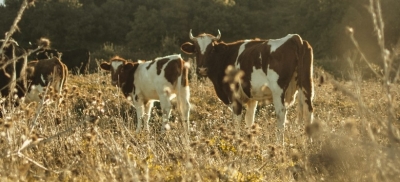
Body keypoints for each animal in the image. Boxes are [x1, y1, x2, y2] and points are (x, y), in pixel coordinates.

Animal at [181, 29, 316, 144]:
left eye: (212, 50)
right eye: (196, 50)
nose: (202, 69)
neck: (226, 56)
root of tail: (294, 37)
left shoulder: (234, 95)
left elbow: (237, 119)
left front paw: (237, 142)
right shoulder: (251, 97)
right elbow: (250, 120)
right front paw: (251, 142)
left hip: (278, 90)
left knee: (281, 113)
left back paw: (279, 144)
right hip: (306, 84)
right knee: (308, 111)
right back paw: (309, 143)